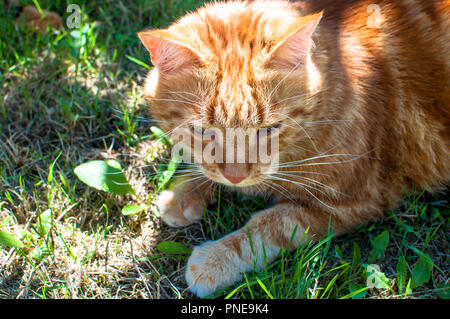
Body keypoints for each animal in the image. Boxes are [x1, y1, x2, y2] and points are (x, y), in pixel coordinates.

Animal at [138, 0, 450, 298]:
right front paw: (183, 192)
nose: (236, 176)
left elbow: (269, 226)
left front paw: (216, 260)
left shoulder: (351, 203)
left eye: (269, 129)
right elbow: (207, 170)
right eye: (203, 131)